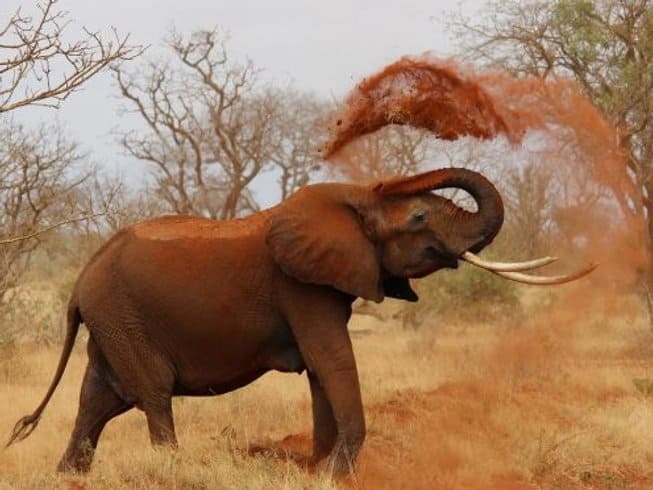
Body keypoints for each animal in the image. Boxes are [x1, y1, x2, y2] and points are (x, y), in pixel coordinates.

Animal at [7, 167, 592, 476]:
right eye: (421, 217)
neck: (355, 200)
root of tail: (80, 281)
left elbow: (320, 370)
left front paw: (319, 470)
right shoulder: (301, 287)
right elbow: (331, 360)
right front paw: (335, 473)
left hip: (112, 320)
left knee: (99, 399)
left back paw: (68, 477)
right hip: (123, 317)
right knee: (151, 393)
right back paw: (170, 470)